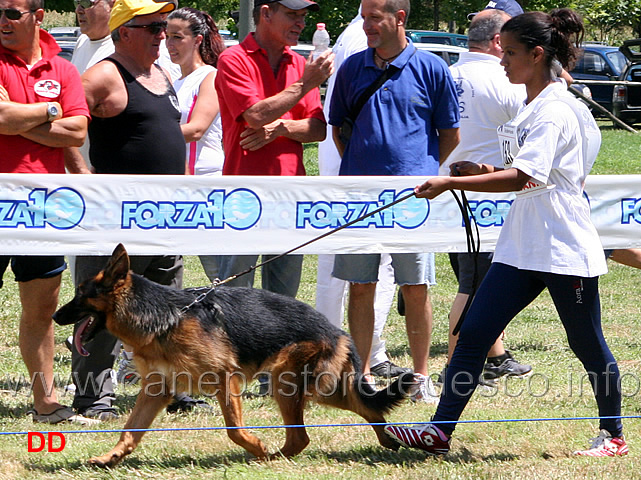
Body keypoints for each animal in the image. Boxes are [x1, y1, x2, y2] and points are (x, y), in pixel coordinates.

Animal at [55, 244, 416, 464]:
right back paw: (385, 443)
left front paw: (255, 446)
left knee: (316, 431)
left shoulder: (224, 378)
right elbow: (131, 430)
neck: (165, 316)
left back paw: (272, 456)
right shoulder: (157, 390)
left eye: (80, 295)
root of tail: (337, 331)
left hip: (294, 382)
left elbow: (234, 429)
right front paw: (111, 457)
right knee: (352, 416)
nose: (56, 316)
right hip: (310, 386)